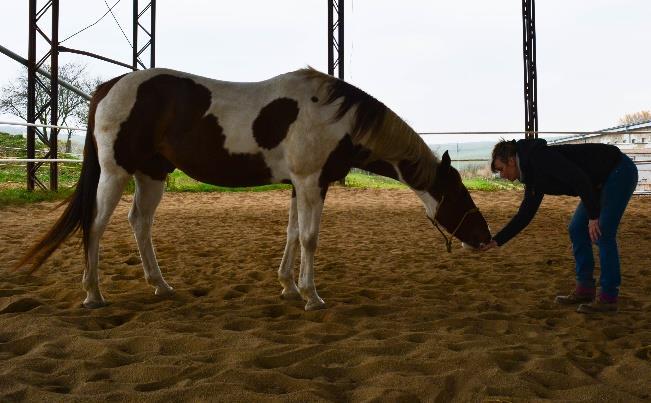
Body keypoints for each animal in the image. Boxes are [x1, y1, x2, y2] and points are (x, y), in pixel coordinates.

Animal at [16, 68, 488, 310]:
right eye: (459, 196)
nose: (485, 238)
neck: (335, 118)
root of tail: (108, 87)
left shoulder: (301, 184)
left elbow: (292, 234)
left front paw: (288, 286)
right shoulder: (311, 182)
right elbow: (310, 238)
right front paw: (311, 295)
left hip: (152, 174)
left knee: (139, 223)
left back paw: (161, 285)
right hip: (116, 172)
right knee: (95, 225)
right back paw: (94, 294)